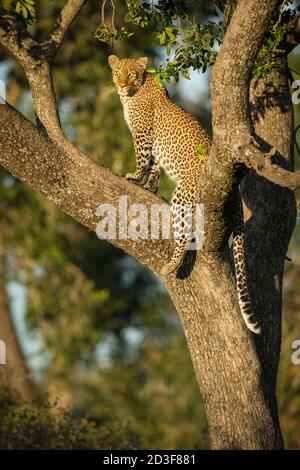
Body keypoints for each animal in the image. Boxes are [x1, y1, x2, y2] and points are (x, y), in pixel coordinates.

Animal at [109, 55, 262, 334]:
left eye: (130, 75)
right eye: (117, 73)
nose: (122, 84)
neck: (135, 92)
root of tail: (233, 190)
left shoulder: (143, 134)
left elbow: (142, 160)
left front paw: (135, 177)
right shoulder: (153, 143)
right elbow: (154, 166)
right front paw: (147, 186)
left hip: (183, 195)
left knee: (185, 233)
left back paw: (171, 265)